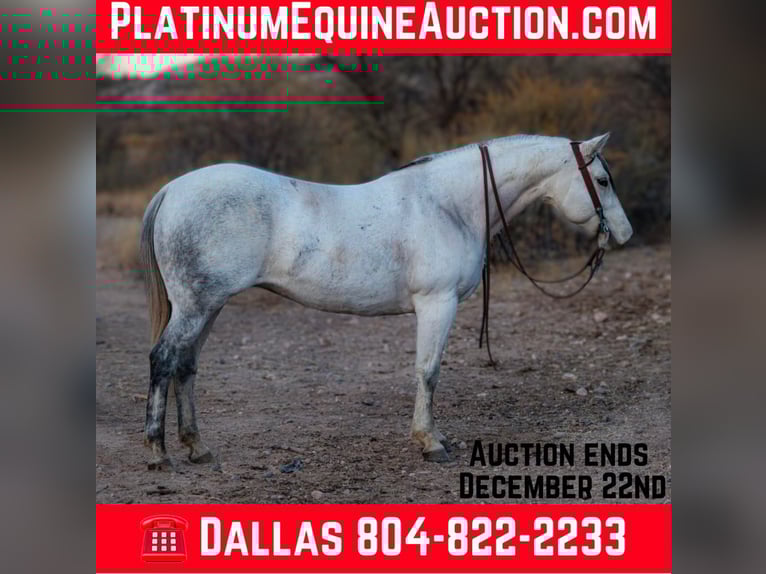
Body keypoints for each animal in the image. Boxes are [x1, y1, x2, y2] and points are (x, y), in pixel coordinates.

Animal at [140, 133, 633, 469]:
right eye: (603, 180)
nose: (625, 234)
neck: (449, 205)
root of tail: (171, 190)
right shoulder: (437, 304)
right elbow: (428, 372)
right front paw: (430, 442)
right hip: (195, 307)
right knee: (164, 359)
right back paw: (158, 452)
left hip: (210, 307)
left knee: (186, 365)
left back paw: (198, 448)